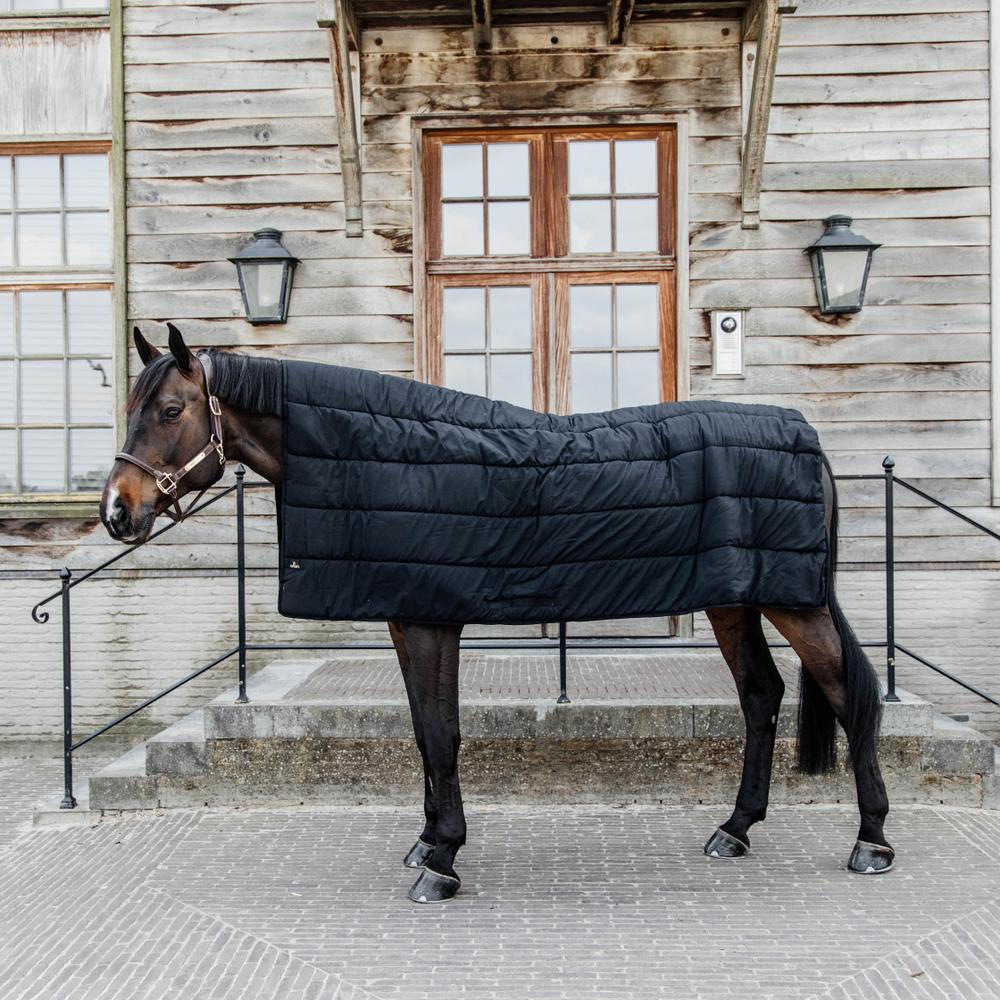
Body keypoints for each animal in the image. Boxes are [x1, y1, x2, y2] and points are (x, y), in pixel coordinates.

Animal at [100, 324, 894, 904]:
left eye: (170, 411)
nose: (117, 512)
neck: (382, 452)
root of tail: (806, 436)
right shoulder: (408, 615)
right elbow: (424, 733)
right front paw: (428, 841)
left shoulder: (431, 621)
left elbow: (443, 734)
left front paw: (443, 861)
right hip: (736, 600)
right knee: (762, 694)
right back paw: (735, 829)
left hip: (793, 601)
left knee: (848, 693)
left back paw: (872, 842)